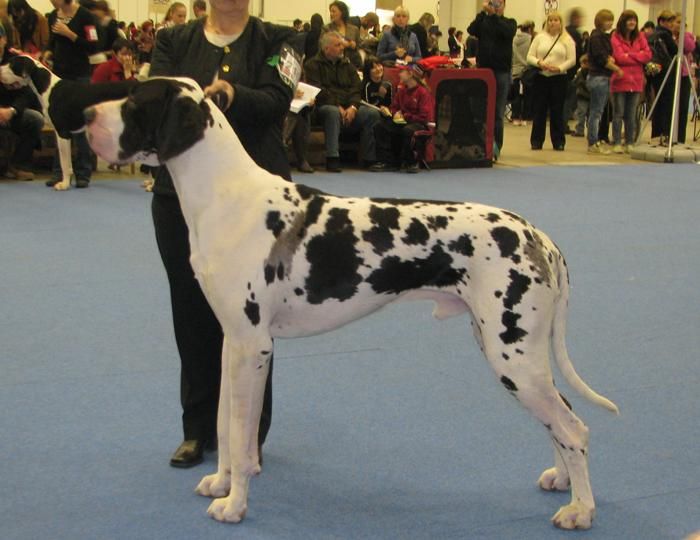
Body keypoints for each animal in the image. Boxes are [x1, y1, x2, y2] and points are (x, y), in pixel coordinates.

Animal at [84, 77, 619, 530]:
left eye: (134, 102)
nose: (86, 113)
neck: (224, 196)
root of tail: (539, 237)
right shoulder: (231, 343)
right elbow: (224, 422)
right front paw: (221, 482)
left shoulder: (252, 347)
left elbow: (239, 432)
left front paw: (234, 506)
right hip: (515, 352)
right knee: (559, 418)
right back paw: (562, 481)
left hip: (513, 357)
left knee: (574, 428)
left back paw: (582, 510)